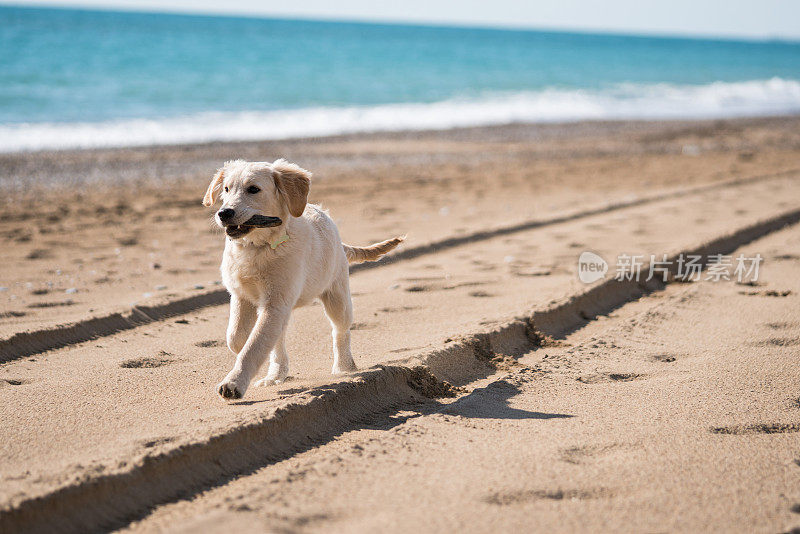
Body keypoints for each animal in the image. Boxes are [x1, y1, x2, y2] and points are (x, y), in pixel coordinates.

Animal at [203, 160, 404, 402]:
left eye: (253, 189)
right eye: (226, 189)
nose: (224, 213)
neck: (259, 247)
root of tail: (339, 240)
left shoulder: (276, 302)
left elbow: (254, 345)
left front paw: (234, 383)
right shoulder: (243, 296)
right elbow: (238, 338)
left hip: (337, 296)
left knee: (341, 331)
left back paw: (343, 367)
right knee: (278, 336)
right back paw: (276, 375)